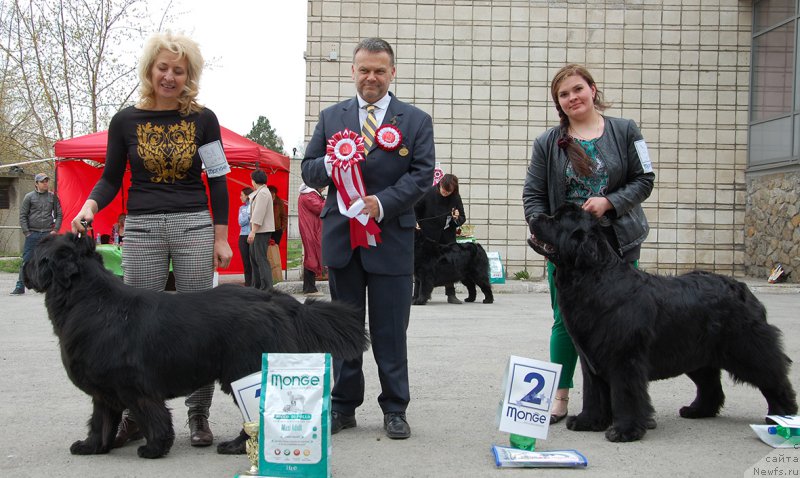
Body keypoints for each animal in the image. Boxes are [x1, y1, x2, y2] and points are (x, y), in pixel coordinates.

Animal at [24, 233, 368, 458]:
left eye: (38, 255)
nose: (25, 268)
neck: (89, 302)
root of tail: (274, 299)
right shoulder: (103, 389)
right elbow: (100, 420)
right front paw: (92, 447)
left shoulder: (137, 387)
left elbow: (153, 416)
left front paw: (154, 448)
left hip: (244, 373)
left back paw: (236, 446)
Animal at [528, 204, 796, 442]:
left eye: (557, 220)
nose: (534, 216)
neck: (593, 278)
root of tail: (743, 289)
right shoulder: (591, 359)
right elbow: (594, 393)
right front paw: (588, 421)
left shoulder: (624, 359)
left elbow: (625, 394)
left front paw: (625, 431)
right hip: (697, 354)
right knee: (711, 386)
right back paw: (697, 411)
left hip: (747, 349)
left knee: (774, 378)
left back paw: (782, 418)